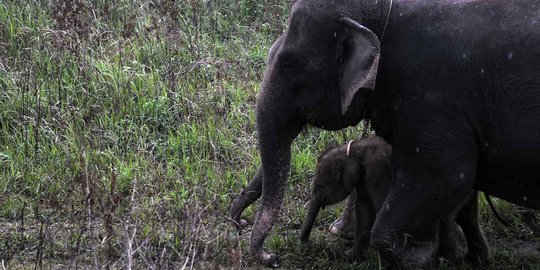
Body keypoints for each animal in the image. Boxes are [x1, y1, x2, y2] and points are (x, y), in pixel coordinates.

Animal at [300, 135, 490, 264]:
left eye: (320, 185)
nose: (304, 246)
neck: (353, 148)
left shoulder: (378, 172)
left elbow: (380, 206)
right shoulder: (364, 180)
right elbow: (364, 213)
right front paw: (351, 257)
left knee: (445, 221)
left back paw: (446, 261)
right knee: (468, 220)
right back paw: (475, 261)